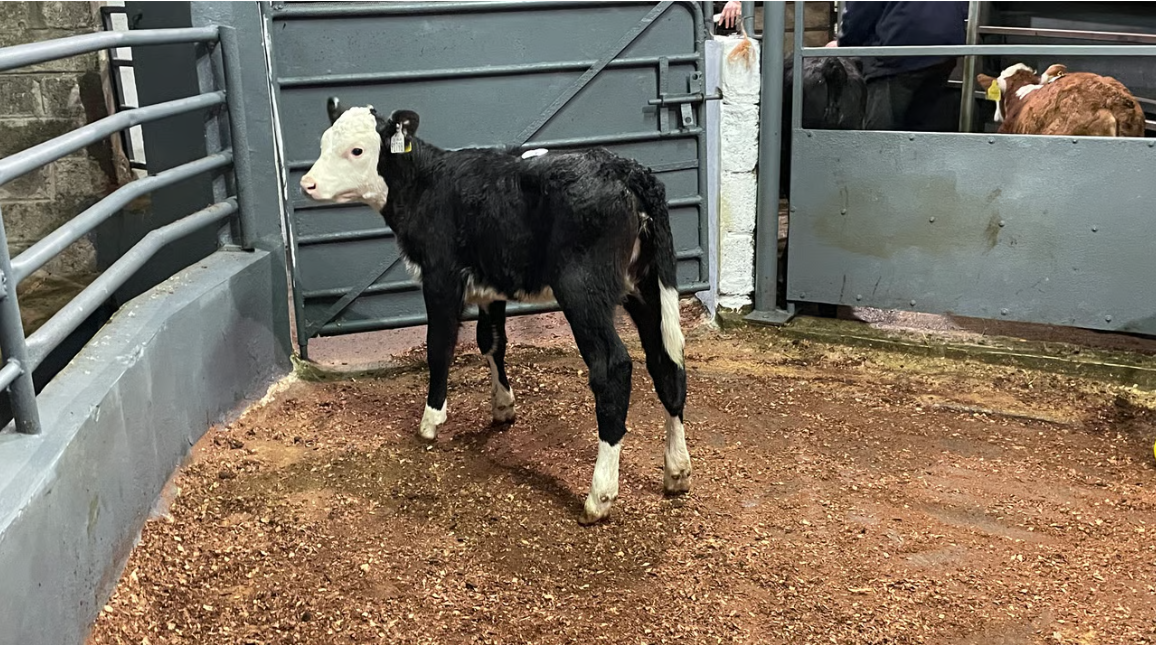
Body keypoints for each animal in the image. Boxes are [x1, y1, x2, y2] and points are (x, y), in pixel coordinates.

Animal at [298, 98, 692, 525]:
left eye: (357, 150)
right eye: (323, 141)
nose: (307, 184)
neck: (428, 184)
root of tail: (626, 169)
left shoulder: (440, 278)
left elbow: (439, 346)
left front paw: (431, 420)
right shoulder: (490, 287)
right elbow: (491, 341)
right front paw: (503, 406)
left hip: (584, 291)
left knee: (613, 368)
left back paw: (599, 495)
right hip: (647, 285)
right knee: (666, 362)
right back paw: (677, 471)